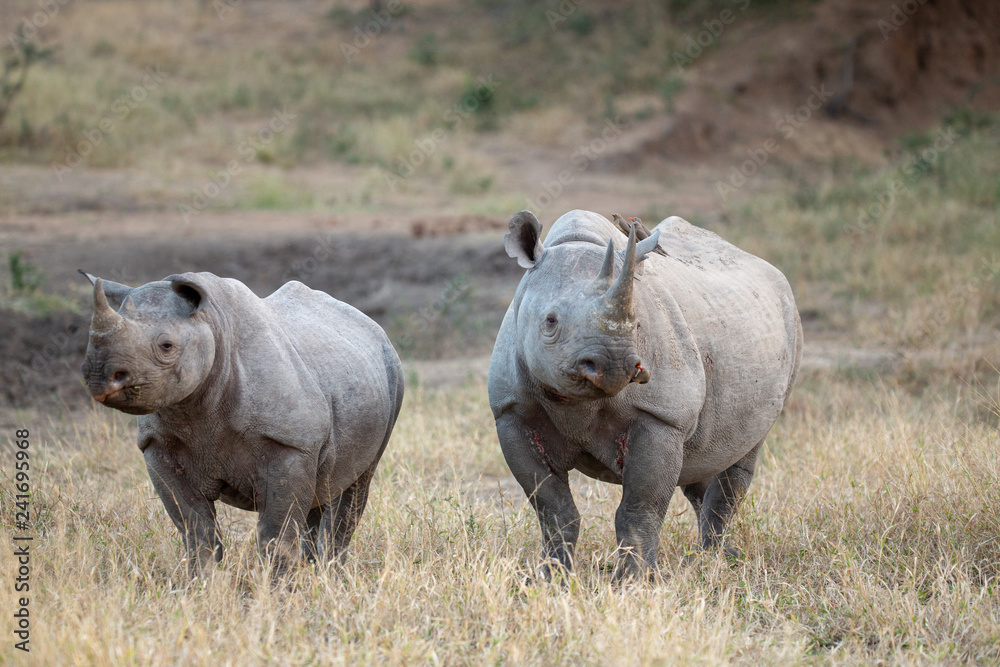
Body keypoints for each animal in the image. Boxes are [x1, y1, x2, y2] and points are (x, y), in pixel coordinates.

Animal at [80, 271, 404, 576]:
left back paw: (329, 578)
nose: (97, 376)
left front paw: (276, 592)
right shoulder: (157, 445)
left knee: (356, 485)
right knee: (322, 487)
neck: (212, 324)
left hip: (392, 372)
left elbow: (276, 534)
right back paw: (314, 574)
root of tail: (374, 327)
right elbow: (196, 529)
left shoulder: (290, 444)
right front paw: (203, 586)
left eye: (166, 346)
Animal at [488, 210, 802, 581]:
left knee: (742, 455)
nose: (613, 365)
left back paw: (715, 561)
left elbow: (639, 509)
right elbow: (553, 509)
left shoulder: (661, 416)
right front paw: (552, 579)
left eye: (636, 324)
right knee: (699, 462)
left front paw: (635, 582)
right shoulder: (511, 412)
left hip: (789, 323)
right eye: (550, 321)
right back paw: (716, 557)